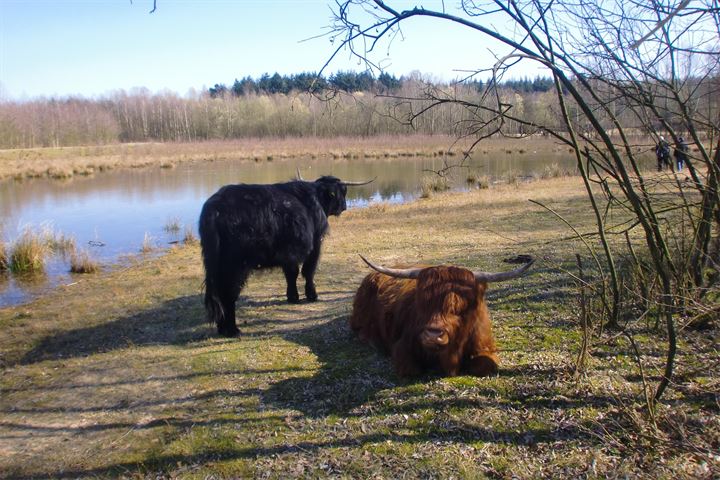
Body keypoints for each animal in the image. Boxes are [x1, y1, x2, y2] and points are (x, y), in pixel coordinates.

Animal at [197, 174, 368, 336]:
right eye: (342, 191)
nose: (344, 207)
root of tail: (214, 207)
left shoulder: (288, 253)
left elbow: (291, 274)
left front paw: (292, 297)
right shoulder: (315, 245)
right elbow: (308, 271)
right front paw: (312, 295)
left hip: (215, 265)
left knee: (218, 293)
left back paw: (222, 328)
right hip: (236, 266)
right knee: (228, 294)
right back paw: (233, 330)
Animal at [352, 255, 532, 378]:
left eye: (460, 306)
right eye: (422, 302)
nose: (432, 336)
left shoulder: (485, 346)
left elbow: (484, 366)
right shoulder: (403, 345)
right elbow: (411, 369)